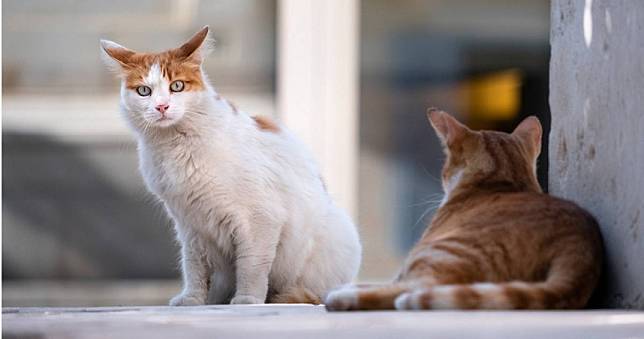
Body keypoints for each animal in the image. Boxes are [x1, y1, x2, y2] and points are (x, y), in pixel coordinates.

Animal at [100, 27, 362, 306]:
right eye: (144, 91)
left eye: (177, 86)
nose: (162, 106)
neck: (175, 145)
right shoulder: (190, 226)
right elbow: (193, 268)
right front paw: (192, 299)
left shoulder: (258, 219)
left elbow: (251, 266)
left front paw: (247, 299)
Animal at [328, 109, 604, 310]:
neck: (502, 182)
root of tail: (579, 245)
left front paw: (347, 289)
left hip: (440, 252)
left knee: (416, 289)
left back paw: (342, 298)